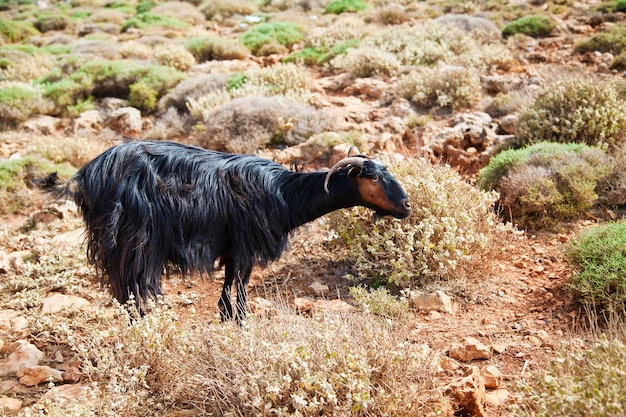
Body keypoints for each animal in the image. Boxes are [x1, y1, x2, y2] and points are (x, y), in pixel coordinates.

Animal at [54, 141, 410, 322]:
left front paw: (227, 318)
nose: (406, 205)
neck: (284, 194)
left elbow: (229, 287)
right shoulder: (244, 245)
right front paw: (239, 320)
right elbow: (239, 287)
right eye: (372, 177)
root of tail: (85, 176)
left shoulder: (233, 248)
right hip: (133, 242)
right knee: (133, 290)